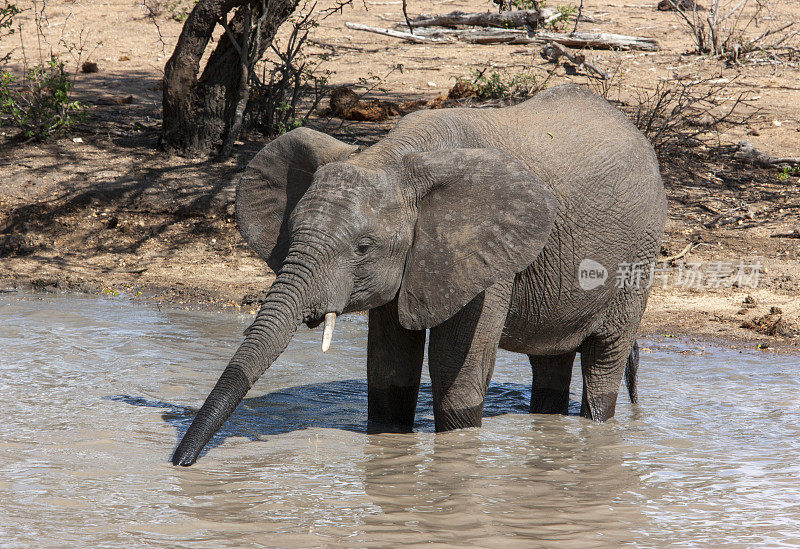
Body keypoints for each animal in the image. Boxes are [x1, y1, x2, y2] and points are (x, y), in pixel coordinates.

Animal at [172, 85, 664, 466]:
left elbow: (455, 367)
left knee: (604, 358)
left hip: (639, 253)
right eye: (292, 234)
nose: (179, 463)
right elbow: (389, 366)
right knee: (550, 360)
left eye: (363, 248)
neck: (394, 155)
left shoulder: (486, 257)